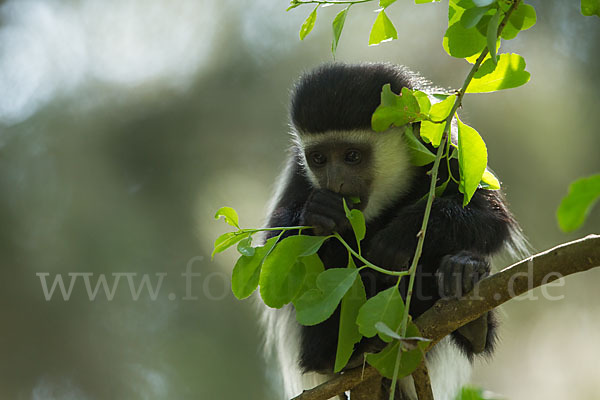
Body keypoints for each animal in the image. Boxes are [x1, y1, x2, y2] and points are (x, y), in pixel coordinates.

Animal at [258, 62, 524, 400]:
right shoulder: (298, 172)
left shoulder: (443, 149)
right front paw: (319, 212)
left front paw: (400, 236)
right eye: (318, 159)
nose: (334, 183)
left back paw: (468, 293)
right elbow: (275, 256)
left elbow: (491, 218)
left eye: (352, 156)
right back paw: (337, 355)